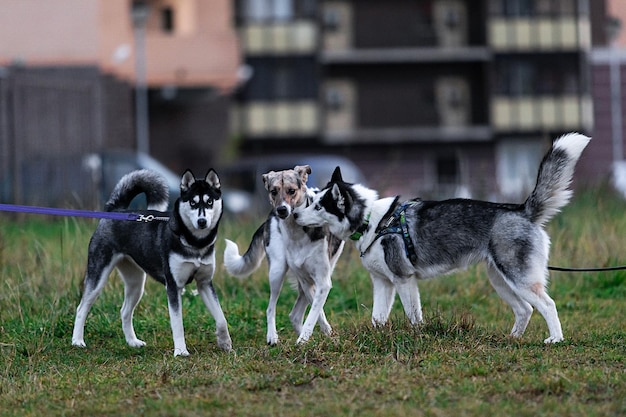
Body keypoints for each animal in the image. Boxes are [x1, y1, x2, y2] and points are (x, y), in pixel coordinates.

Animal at [71, 167, 232, 356]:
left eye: (209, 202)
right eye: (193, 202)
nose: (202, 221)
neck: (194, 243)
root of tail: (115, 210)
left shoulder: (205, 283)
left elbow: (221, 318)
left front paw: (225, 343)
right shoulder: (173, 286)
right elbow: (177, 323)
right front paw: (180, 351)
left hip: (136, 284)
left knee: (125, 311)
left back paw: (132, 342)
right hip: (98, 278)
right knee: (82, 308)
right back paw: (77, 341)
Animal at [223, 166, 344, 344]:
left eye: (291, 191)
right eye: (273, 191)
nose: (281, 210)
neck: (297, 230)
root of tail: (269, 216)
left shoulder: (321, 282)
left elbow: (315, 312)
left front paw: (314, 337)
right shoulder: (309, 282)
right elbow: (316, 312)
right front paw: (315, 335)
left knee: (295, 315)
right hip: (277, 271)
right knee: (271, 308)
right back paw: (272, 336)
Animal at [294, 132, 588, 342]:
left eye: (318, 206)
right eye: (311, 200)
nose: (294, 214)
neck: (372, 222)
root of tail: (521, 210)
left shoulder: (404, 280)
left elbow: (414, 317)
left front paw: (417, 337)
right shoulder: (383, 284)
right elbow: (378, 319)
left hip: (519, 278)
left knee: (548, 304)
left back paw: (555, 339)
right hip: (500, 279)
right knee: (525, 309)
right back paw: (512, 339)